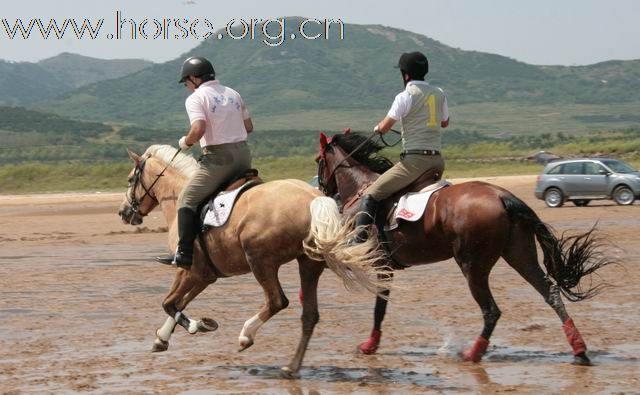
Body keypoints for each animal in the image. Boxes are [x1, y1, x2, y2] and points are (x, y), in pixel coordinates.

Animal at [117, 145, 382, 374]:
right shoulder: (205, 275)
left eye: (130, 180)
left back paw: (246, 336)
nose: (123, 212)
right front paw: (162, 338)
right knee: (309, 315)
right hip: (308, 264)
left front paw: (199, 325)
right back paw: (291, 367)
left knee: (277, 301)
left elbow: (170, 303)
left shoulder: (189, 270)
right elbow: (178, 303)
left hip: (260, 261)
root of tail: (312, 198)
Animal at [316, 131, 616, 366]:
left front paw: (369, 345)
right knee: (550, 293)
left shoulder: (376, 262)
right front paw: (371, 344)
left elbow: (378, 306)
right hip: (519, 255)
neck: (359, 189)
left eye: (319, 162)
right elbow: (380, 305)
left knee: (491, 310)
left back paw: (473, 354)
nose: (324, 192)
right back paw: (579, 350)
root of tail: (503, 196)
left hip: (473, 265)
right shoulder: (385, 266)